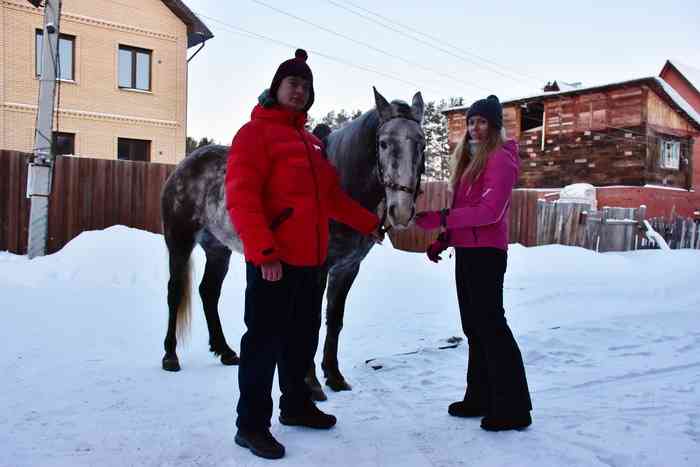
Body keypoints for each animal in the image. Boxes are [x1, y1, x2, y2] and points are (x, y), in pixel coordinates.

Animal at [163, 88, 426, 402]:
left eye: (421, 143)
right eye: (384, 143)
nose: (402, 211)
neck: (339, 188)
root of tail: (186, 165)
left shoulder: (347, 269)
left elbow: (334, 320)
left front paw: (334, 377)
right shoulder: (315, 270)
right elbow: (308, 321)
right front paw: (311, 384)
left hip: (218, 249)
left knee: (208, 292)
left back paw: (225, 351)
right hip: (179, 241)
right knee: (175, 291)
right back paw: (170, 357)